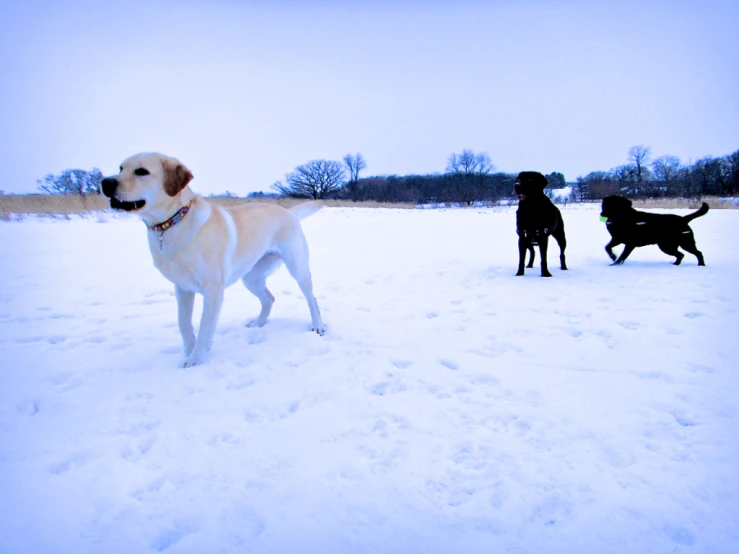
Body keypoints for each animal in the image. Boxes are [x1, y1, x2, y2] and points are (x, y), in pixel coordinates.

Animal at [102, 152, 326, 366]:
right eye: (121, 168)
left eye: (142, 171)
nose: (106, 182)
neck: (172, 223)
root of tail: (287, 210)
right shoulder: (182, 287)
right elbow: (183, 322)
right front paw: (189, 350)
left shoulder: (213, 289)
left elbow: (204, 326)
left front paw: (196, 359)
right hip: (250, 276)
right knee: (269, 299)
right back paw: (258, 323)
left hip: (297, 267)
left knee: (311, 299)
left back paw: (317, 326)